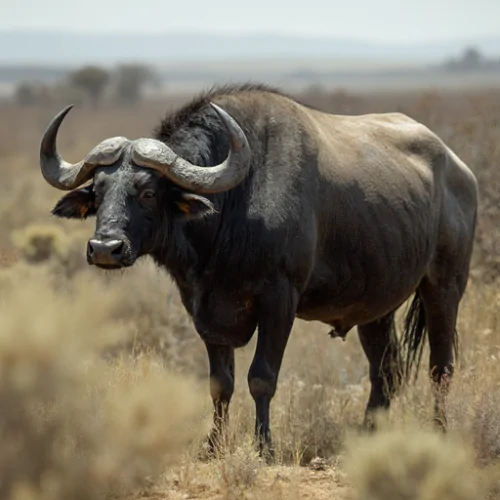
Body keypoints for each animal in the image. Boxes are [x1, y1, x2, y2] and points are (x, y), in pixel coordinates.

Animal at [38, 84, 476, 458]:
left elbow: (261, 377)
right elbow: (220, 384)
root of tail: (459, 170)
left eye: (147, 192)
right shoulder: (204, 309)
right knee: (386, 371)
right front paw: (212, 446)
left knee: (440, 367)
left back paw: (439, 432)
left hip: (444, 287)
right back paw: (368, 436)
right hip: (375, 309)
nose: (105, 249)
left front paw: (264, 447)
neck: (232, 205)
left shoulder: (279, 301)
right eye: (97, 192)